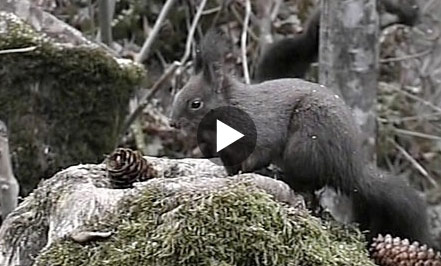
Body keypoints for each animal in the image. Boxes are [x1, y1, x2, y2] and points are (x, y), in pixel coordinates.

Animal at [170, 30, 432, 246]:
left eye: (195, 103)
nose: (172, 123)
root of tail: (350, 169)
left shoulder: (263, 132)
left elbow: (259, 154)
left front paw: (250, 172)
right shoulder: (226, 153)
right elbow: (231, 167)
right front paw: (232, 177)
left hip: (306, 143)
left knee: (309, 181)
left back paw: (283, 176)